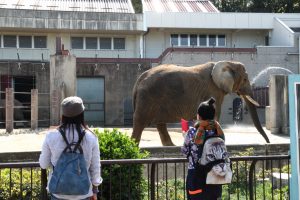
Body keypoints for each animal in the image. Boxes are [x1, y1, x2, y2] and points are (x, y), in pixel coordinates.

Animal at [131, 60, 270, 146]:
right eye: (245, 79)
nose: (268, 142)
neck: (228, 62)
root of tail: (140, 78)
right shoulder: (213, 90)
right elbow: (215, 113)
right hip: (148, 97)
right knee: (140, 121)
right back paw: (134, 146)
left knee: (160, 123)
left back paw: (171, 146)